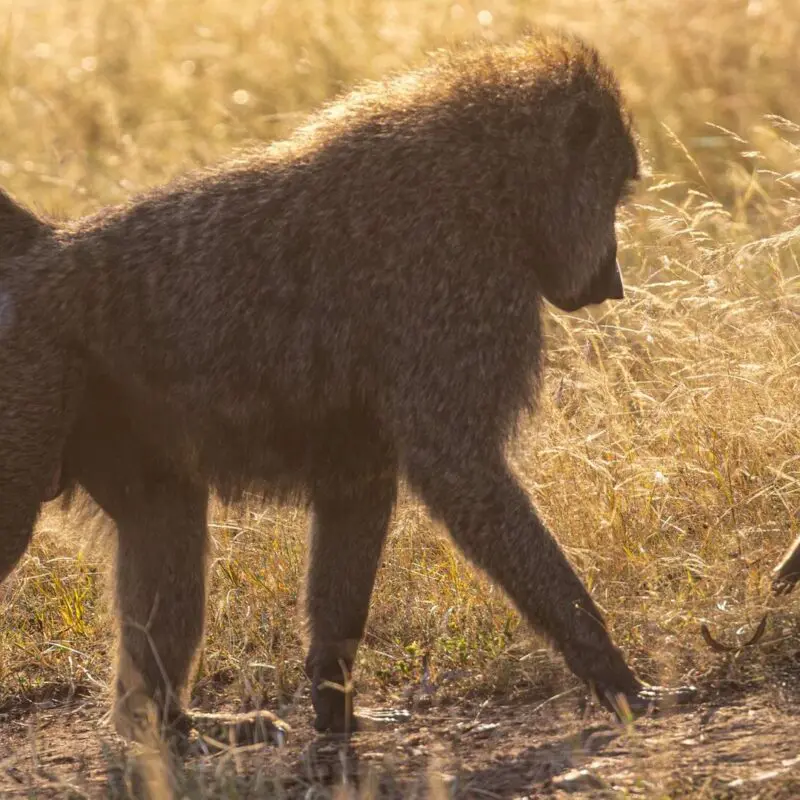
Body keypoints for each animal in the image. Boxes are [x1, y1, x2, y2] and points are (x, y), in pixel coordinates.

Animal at [0, 29, 696, 743]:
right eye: (615, 192)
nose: (614, 282)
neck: (491, 181)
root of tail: (44, 252)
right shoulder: (461, 283)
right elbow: (458, 470)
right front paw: (617, 679)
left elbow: (357, 499)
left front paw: (335, 705)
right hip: (30, 377)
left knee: (167, 518)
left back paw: (173, 724)